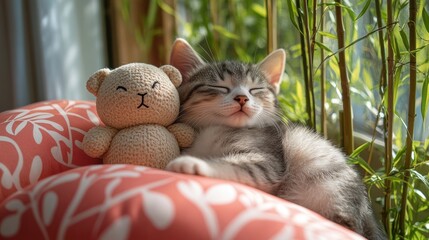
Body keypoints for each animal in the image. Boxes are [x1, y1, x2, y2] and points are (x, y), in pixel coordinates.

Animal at [166, 38, 384, 239]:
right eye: (219, 86)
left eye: (255, 89)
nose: (242, 98)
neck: (212, 130)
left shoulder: (269, 160)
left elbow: (235, 165)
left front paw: (193, 164)